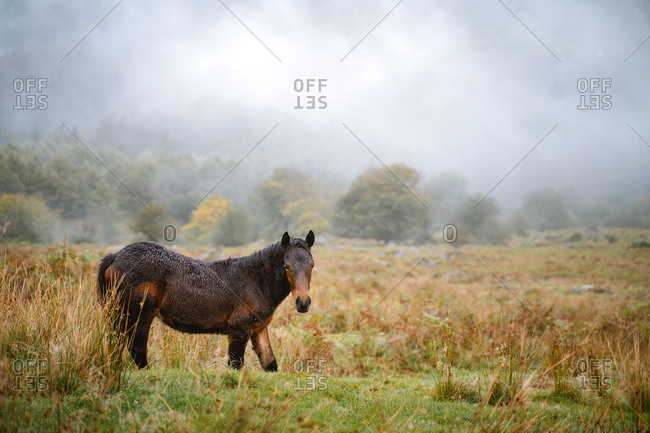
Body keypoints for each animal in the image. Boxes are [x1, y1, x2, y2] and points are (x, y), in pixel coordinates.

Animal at [97, 231, 315, 371]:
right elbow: (235, 366)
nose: (303, 302)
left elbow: (270, 363)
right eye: (286, 266)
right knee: (137, 348)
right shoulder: (239, 329)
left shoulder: (258, 329)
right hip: (140, 314)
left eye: (312, 265)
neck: (254, 280)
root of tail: (116, 256)